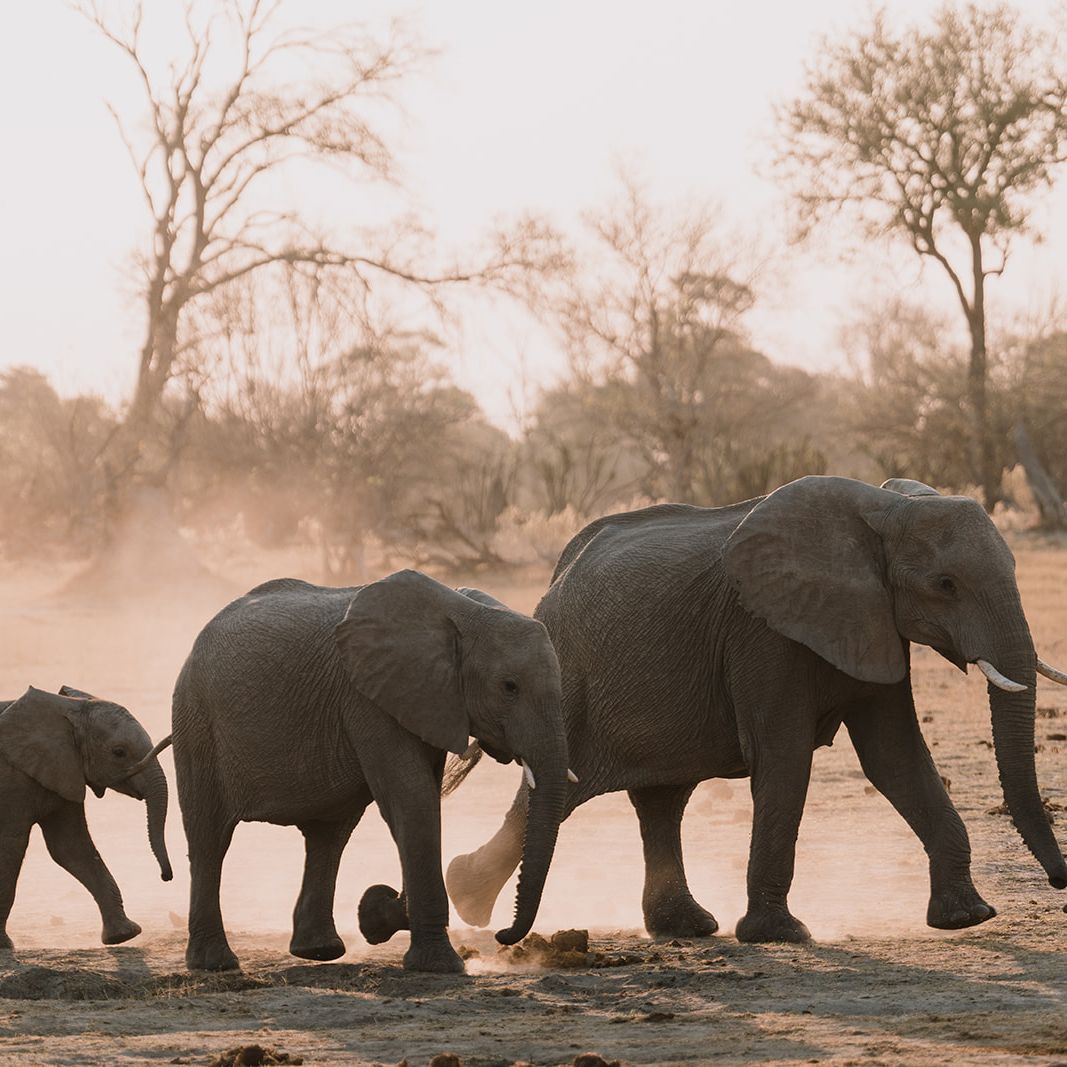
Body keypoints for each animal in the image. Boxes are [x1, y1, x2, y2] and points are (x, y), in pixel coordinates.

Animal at [0, 685, 172, 950]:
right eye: (119, 752)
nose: (166, 876)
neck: (68, 708)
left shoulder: (64, 770)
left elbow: (71, 848)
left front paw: (123, 935)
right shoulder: (13, 779)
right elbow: (11, 845)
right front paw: (4, 945)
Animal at [171, 569, 569, 974]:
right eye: (509, 687)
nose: (502, 934)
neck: (465, 611)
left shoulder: (430, 700)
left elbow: (422, 797)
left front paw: (379, 914)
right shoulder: (369, 698)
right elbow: (412, 797)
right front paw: (437, 963)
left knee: (329, 835)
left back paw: (320, 951)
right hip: (196, 719)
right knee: (209, 838)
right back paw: (216, 963)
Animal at [447, 476, 1067, 944]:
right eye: (945, 584)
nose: (1062, 883)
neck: (883, 509)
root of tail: (557, 576)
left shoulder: (875, 623)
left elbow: (894, 758)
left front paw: (967, 918)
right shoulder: (763, 631)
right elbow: (785, 757)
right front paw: (780, 936)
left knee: (660, 800)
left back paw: (682, 927)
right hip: (570, 680)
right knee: (559, 792)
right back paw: (468, 900)